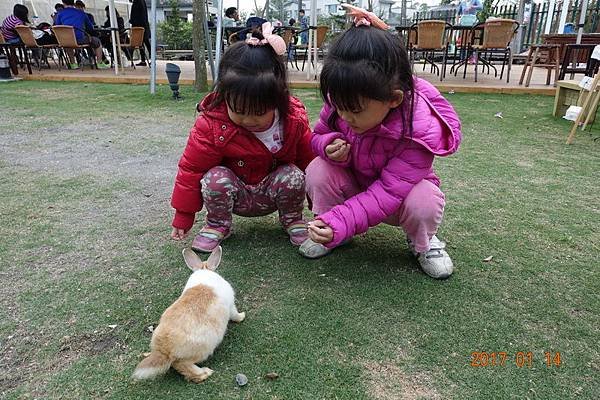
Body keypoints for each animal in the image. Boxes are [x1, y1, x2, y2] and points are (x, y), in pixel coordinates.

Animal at [131, 245, 244, 382]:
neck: (204, 272)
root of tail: (165, 349)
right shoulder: (231, 305)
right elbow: (235, 314)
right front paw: (242, 316)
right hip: (203, 349)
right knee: (183, 365)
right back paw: (205, 373)